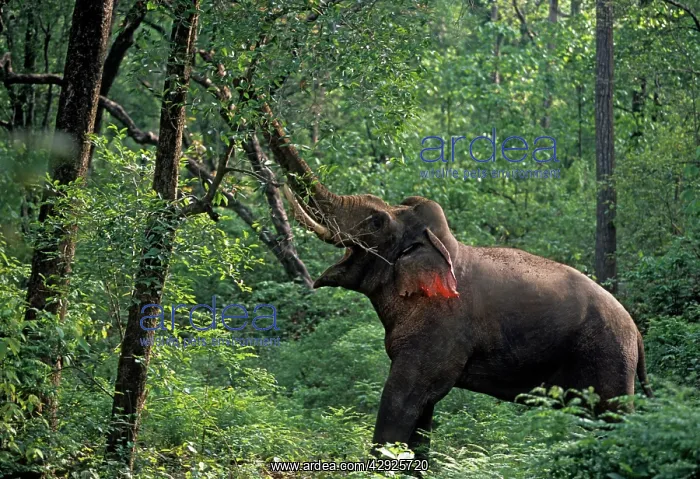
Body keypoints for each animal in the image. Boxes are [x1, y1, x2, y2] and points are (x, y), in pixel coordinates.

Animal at [268, 122, 653, 462]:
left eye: (376, 222)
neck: (441, 246)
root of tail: (636, 332)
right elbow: (422, 415)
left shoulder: (441, 331)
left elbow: (401, 400)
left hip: (607, 357)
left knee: (610, 419)